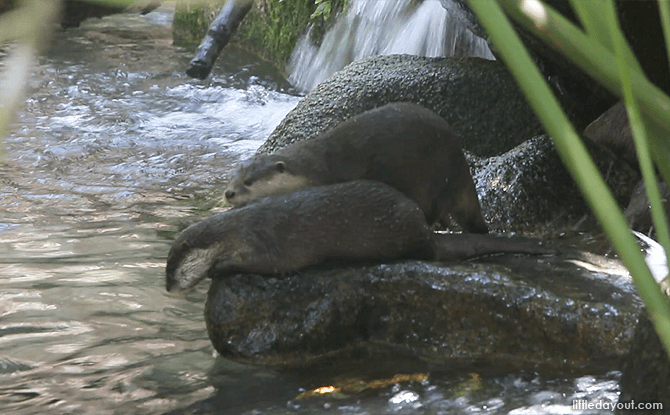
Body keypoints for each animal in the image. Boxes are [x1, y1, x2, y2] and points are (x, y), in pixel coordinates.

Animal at [168, 181, 556, 292]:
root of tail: (427, 231)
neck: (237, 230)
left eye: (172, 267)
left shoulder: (265, 240)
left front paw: (219, 267)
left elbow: (264, 264)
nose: (169, 287)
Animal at [224, 102, 488, 234]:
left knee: (436, 208)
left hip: (434, 178)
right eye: (234, 176)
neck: (317, 168)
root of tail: (460, 164)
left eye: (248, 181)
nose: (228, 193)